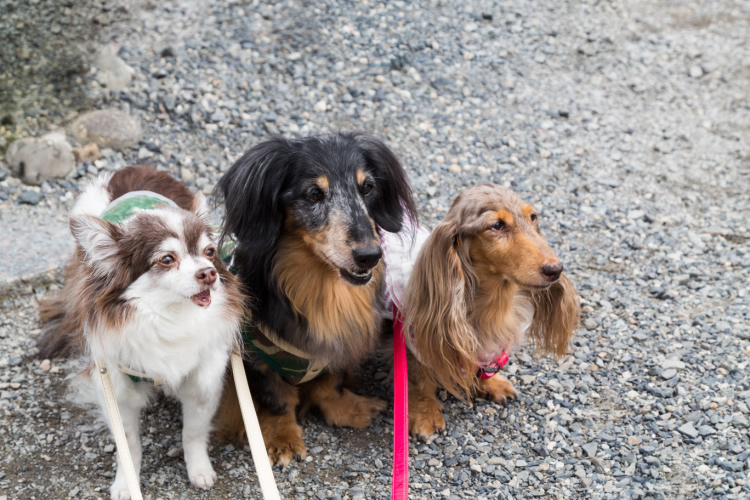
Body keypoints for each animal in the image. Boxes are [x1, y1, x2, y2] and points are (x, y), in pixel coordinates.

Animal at [37, 167, 244, 496]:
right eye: (167, 259)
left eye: (210, 252)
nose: (209, 272)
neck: (169, 317)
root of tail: (134, 168)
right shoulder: (115, 384)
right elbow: (129, 444)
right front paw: (127, 482)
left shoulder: (204, 379)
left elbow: (194, 432)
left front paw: (199, 469)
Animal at [394, 184, 580, 438]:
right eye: (497, 225)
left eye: (533, 216)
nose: (556, 269)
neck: (492, 303)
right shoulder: (413, 340)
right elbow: (417, 378)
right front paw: (426, 414)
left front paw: (490, 384)